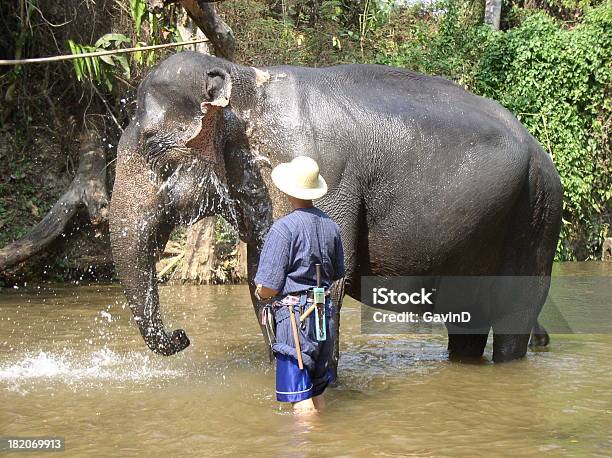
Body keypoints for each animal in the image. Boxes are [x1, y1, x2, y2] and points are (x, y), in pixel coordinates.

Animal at [109, 51, 560, 364]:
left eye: (155, 152)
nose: (183, 336)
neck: (247, 80)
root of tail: (541, 152)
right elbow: (261, 281)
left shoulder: (323, 173)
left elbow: (326, 282)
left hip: (536, 213)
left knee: (515, 314)